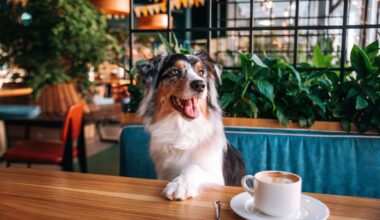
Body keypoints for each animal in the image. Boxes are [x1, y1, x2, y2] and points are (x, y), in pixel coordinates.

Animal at [137, 52, 246, 200]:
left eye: (201, 72)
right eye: (174, 72)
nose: (200, 84)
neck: (182, 127)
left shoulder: (217, 178)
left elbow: (193, 167)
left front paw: (180, 185)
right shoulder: (163, 173)